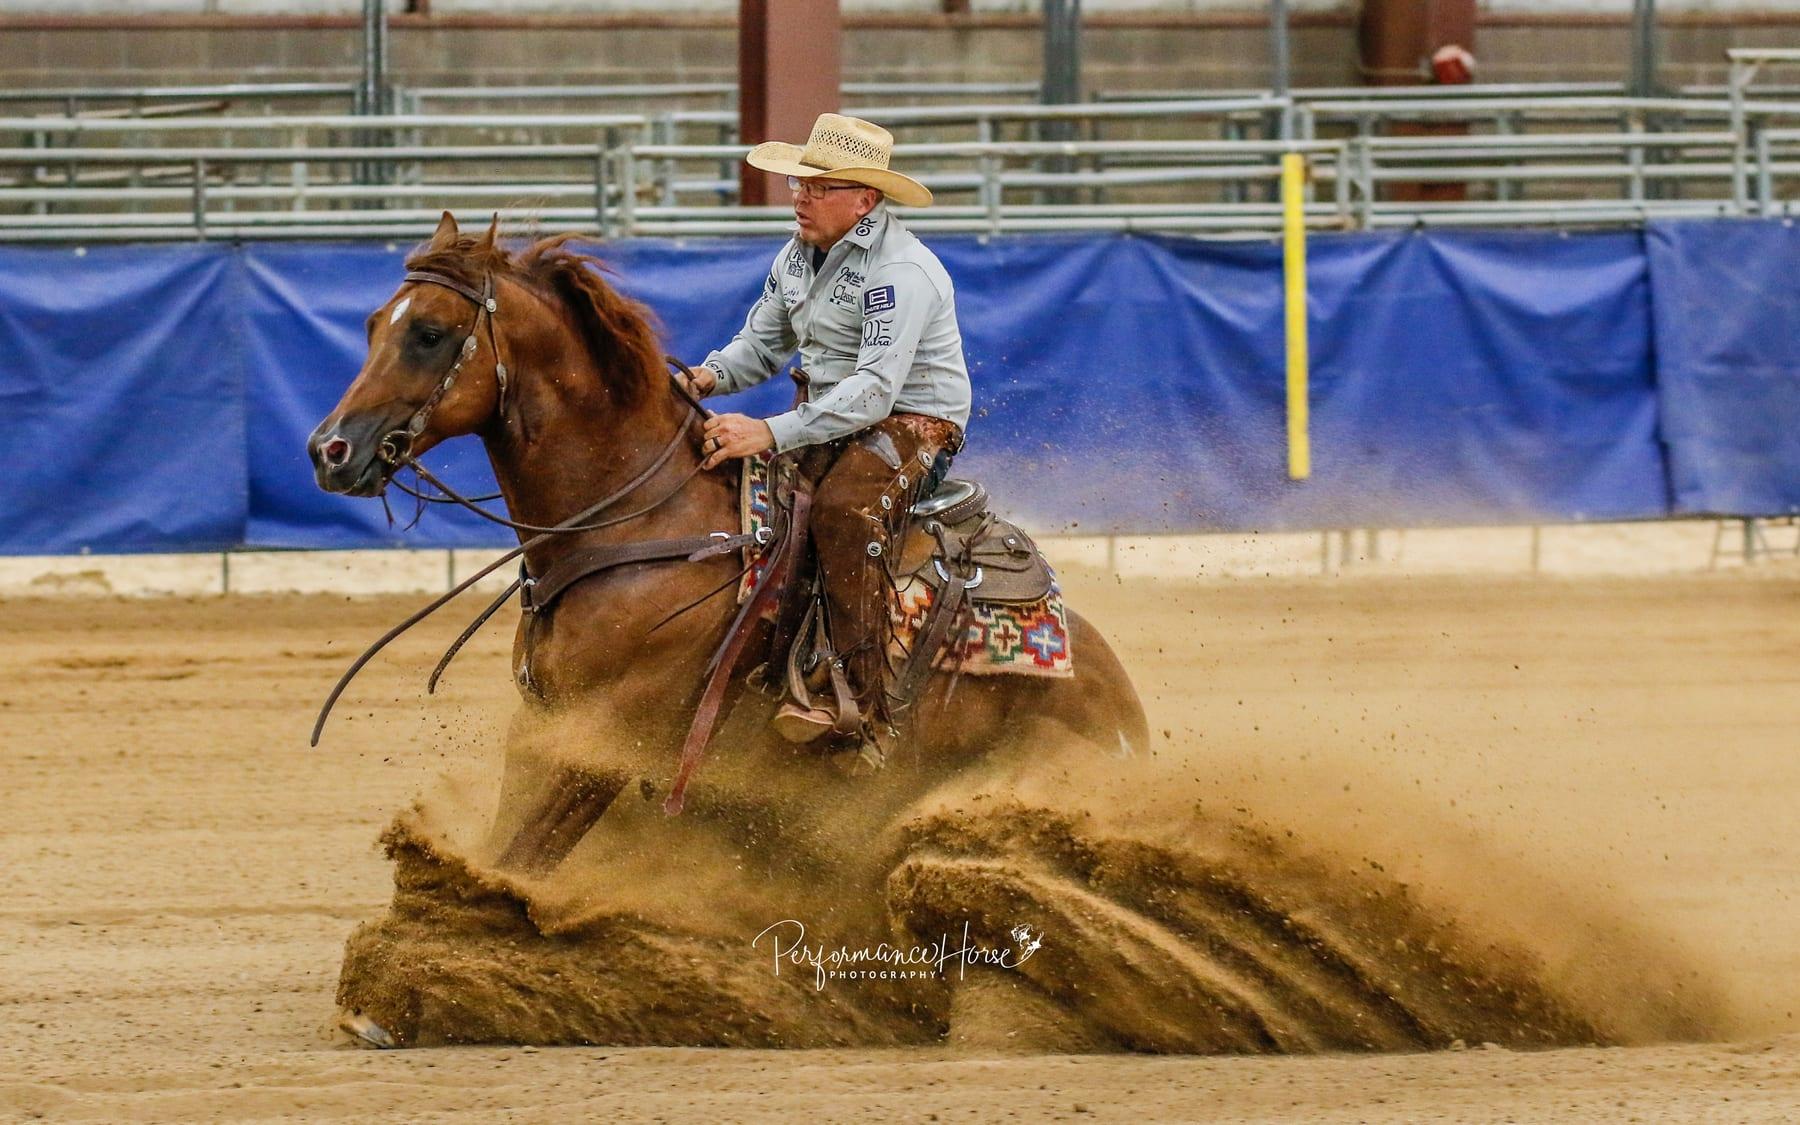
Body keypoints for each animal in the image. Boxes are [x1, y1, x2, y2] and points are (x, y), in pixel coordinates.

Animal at [308, 212, 1151, 877]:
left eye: (428, 334)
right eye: (374, 325)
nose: (330, 450)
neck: (642, 524)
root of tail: (1122, 708)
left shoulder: (605, 741)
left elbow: (512, 861)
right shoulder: (544, 726)